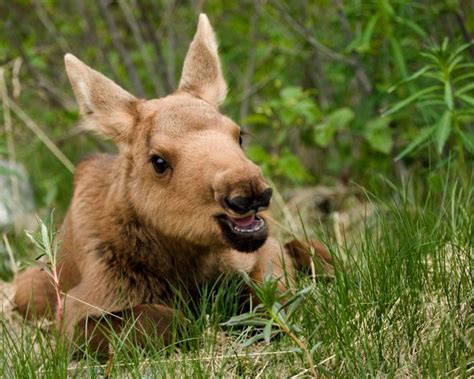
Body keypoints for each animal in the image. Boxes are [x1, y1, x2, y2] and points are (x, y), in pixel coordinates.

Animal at [13, 14, 330, 354]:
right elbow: (171, 320)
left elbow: (271, 297)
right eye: (159, 161)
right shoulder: (74, 315)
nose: (248, 191)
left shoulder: (265, 250)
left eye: (239, 134)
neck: (186, 267)